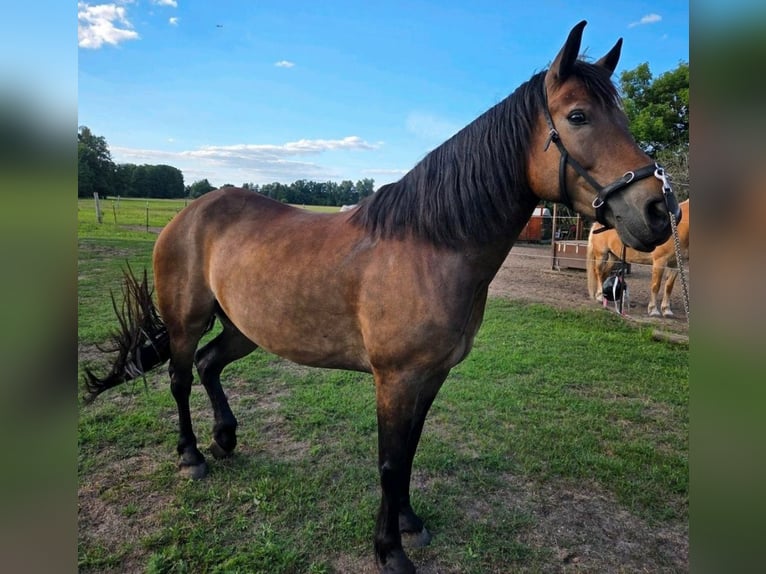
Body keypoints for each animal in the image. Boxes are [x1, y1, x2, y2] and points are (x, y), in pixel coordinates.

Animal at [82, 21, 679, 574]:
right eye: (578, 116)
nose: (659, 210)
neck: (431, 246)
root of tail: (191, 212)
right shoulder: (395, 379)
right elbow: (390, 462)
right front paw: (388, 549)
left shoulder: (430, 376)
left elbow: (409, 452)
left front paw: (409, 522)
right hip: (187, 320)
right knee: (181, 378)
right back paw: (191, 456)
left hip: (243, 329)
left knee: (209, 366)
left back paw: (225, 439)